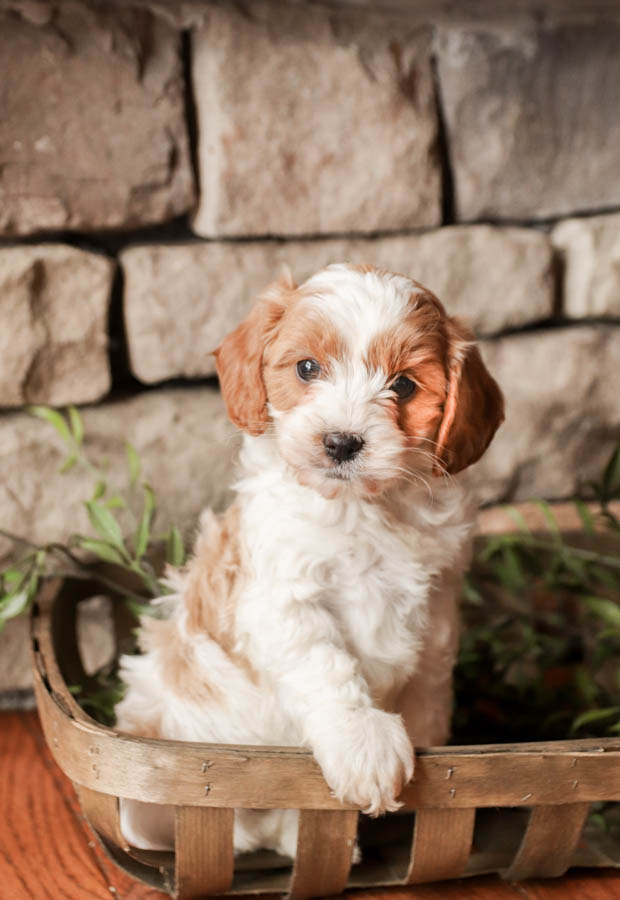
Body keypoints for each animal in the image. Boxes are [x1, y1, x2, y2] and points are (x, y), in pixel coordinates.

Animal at [115, 262, 504, 856]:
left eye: (404, 385)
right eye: (306, 368)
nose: (342, 442)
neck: (363, 508)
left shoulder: (439, 602)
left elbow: (430, 679)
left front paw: (428, 737)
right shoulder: (283, 599)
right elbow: (326, 666)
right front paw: (364, 743)